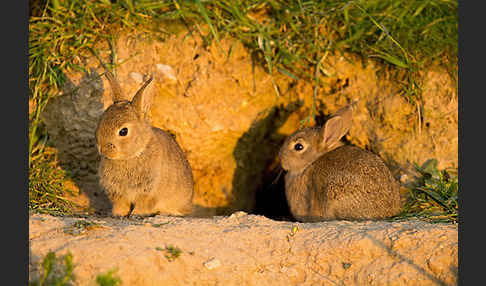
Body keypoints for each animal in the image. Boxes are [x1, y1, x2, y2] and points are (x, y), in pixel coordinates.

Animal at [95, 71, 194, 217]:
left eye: (123, 131)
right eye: (101, 121)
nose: (102, 149)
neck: (134, 154)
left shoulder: (149, 191)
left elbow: (143, 204)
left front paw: (136, 214)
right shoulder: (117, 192)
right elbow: (121, 204)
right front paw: (118, 214)